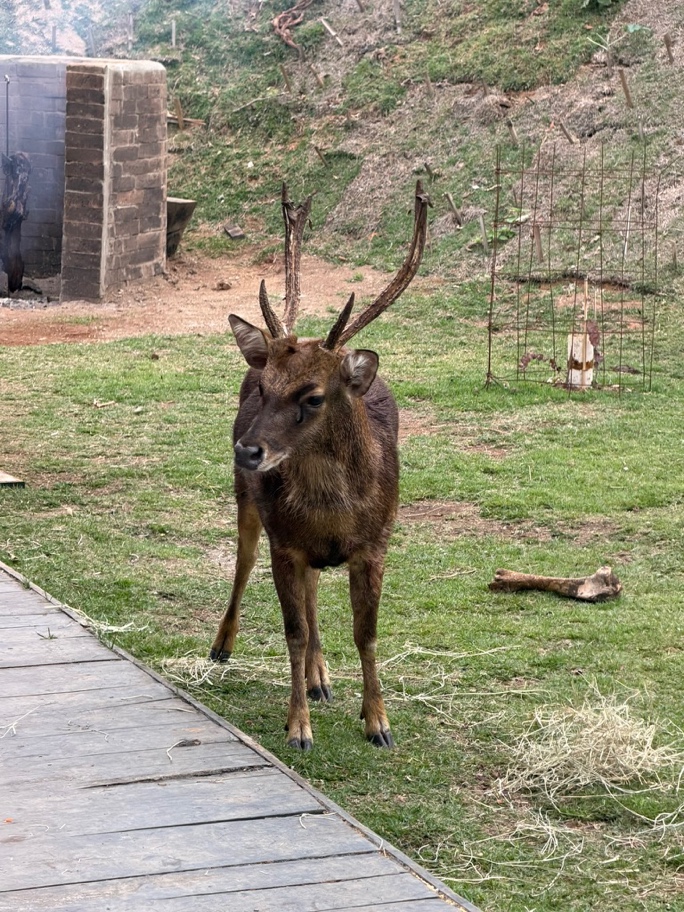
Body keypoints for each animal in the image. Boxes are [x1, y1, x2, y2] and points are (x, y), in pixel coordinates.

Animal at [210, 182, 430, 750]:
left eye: (312, 396)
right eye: (264, 389)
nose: (247, 450)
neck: (335, 514)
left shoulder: (376, 544)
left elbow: (365, 633)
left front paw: (378, 723)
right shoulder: (285, 543)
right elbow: (293, 631)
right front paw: (297, 729)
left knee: (311, 596)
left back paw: (321, 678)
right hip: (249, 505)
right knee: (244, 564)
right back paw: (224, 645)